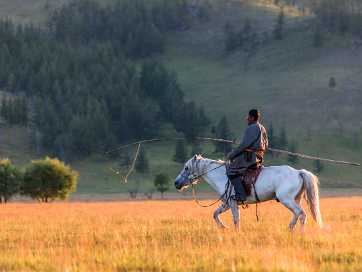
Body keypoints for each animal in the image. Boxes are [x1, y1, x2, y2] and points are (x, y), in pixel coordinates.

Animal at [174, 155, 324, 232]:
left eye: (186, 168)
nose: (176, 183)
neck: (222, 176)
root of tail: (299, 172)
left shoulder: (232, 203)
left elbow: (236, 219)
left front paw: (236, 232)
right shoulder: (227, 204)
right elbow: (215, 214)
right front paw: (224, 227)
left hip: (287, 200)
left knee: (301, 214)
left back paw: (299, 233)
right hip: (294, 199)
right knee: (297, 214)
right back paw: (290, 230)